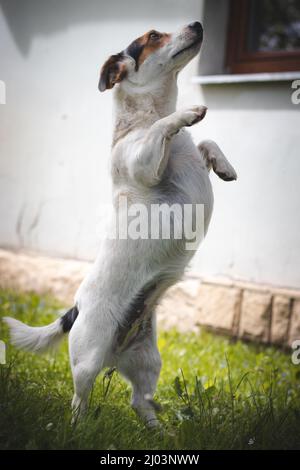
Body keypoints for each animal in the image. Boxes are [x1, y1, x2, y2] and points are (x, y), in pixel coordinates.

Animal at [2, 21, 237, 426]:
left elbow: (206, 142)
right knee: (80, 397)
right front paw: (187, 113)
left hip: (148, 359)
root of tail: (76, 308)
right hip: (87, 357)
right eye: (153, 36)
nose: (197, 24)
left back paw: (159, 431)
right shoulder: (142, 162)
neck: (143, 116)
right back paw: (78, 427)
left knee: (139, 401)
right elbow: (164, 126)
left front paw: (225, 166)